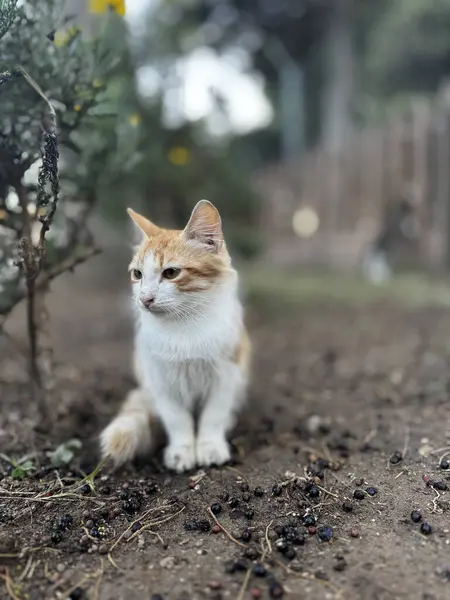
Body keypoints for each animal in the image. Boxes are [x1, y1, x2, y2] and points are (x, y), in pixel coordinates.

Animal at [99, 202, 251, 474]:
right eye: (137, 274)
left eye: (170, 273)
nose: (144, 298)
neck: (183, 326)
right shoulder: (160, 380)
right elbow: (176, 419)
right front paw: (182, 450)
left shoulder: (226, 375)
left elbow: (214, 415)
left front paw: (209, 445)